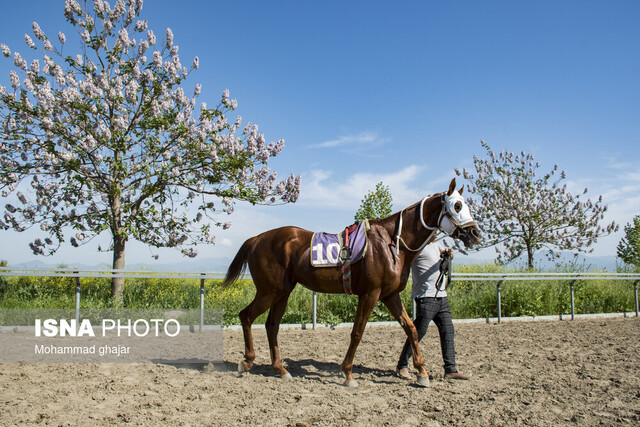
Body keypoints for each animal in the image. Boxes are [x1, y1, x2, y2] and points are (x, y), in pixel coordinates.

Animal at [224, 177, 480, 388]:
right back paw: (247, 362)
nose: (475, 233)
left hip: (283, 293)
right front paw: (348, 374)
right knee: (246, 316)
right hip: (270, 291)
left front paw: (422, 373)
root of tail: (257, 239)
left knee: (271, 325)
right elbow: (357, 332)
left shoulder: (390, 295)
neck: (391, 243)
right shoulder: (370, 293)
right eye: (457, 206)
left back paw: (280, 369)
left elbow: (412, 328)